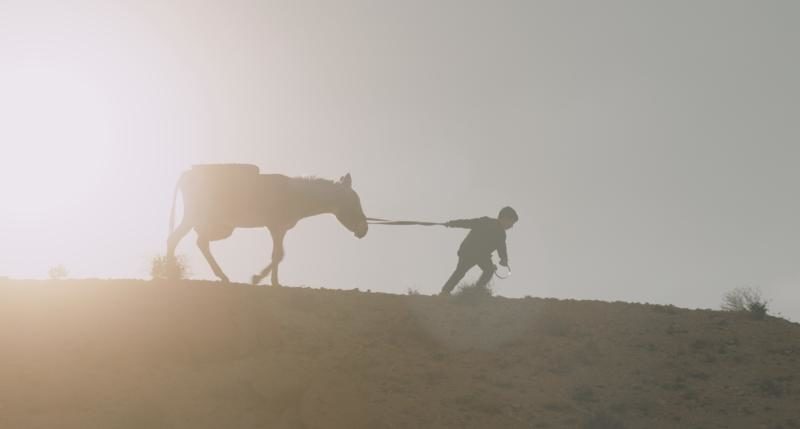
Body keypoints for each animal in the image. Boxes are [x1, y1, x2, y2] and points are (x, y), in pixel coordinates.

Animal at [169, 163, 372, 284]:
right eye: (354, 202)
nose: (365, 230)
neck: (297, 196)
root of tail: (188, 172)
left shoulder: (279, 229)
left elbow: (278, 254)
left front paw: (270, 281)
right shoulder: (276, 227)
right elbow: (278, 255)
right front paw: (262, 279)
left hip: (221, 227)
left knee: (199, 241)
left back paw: (221, 276)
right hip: (197, 216)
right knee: (175, 238)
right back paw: (169, 271)